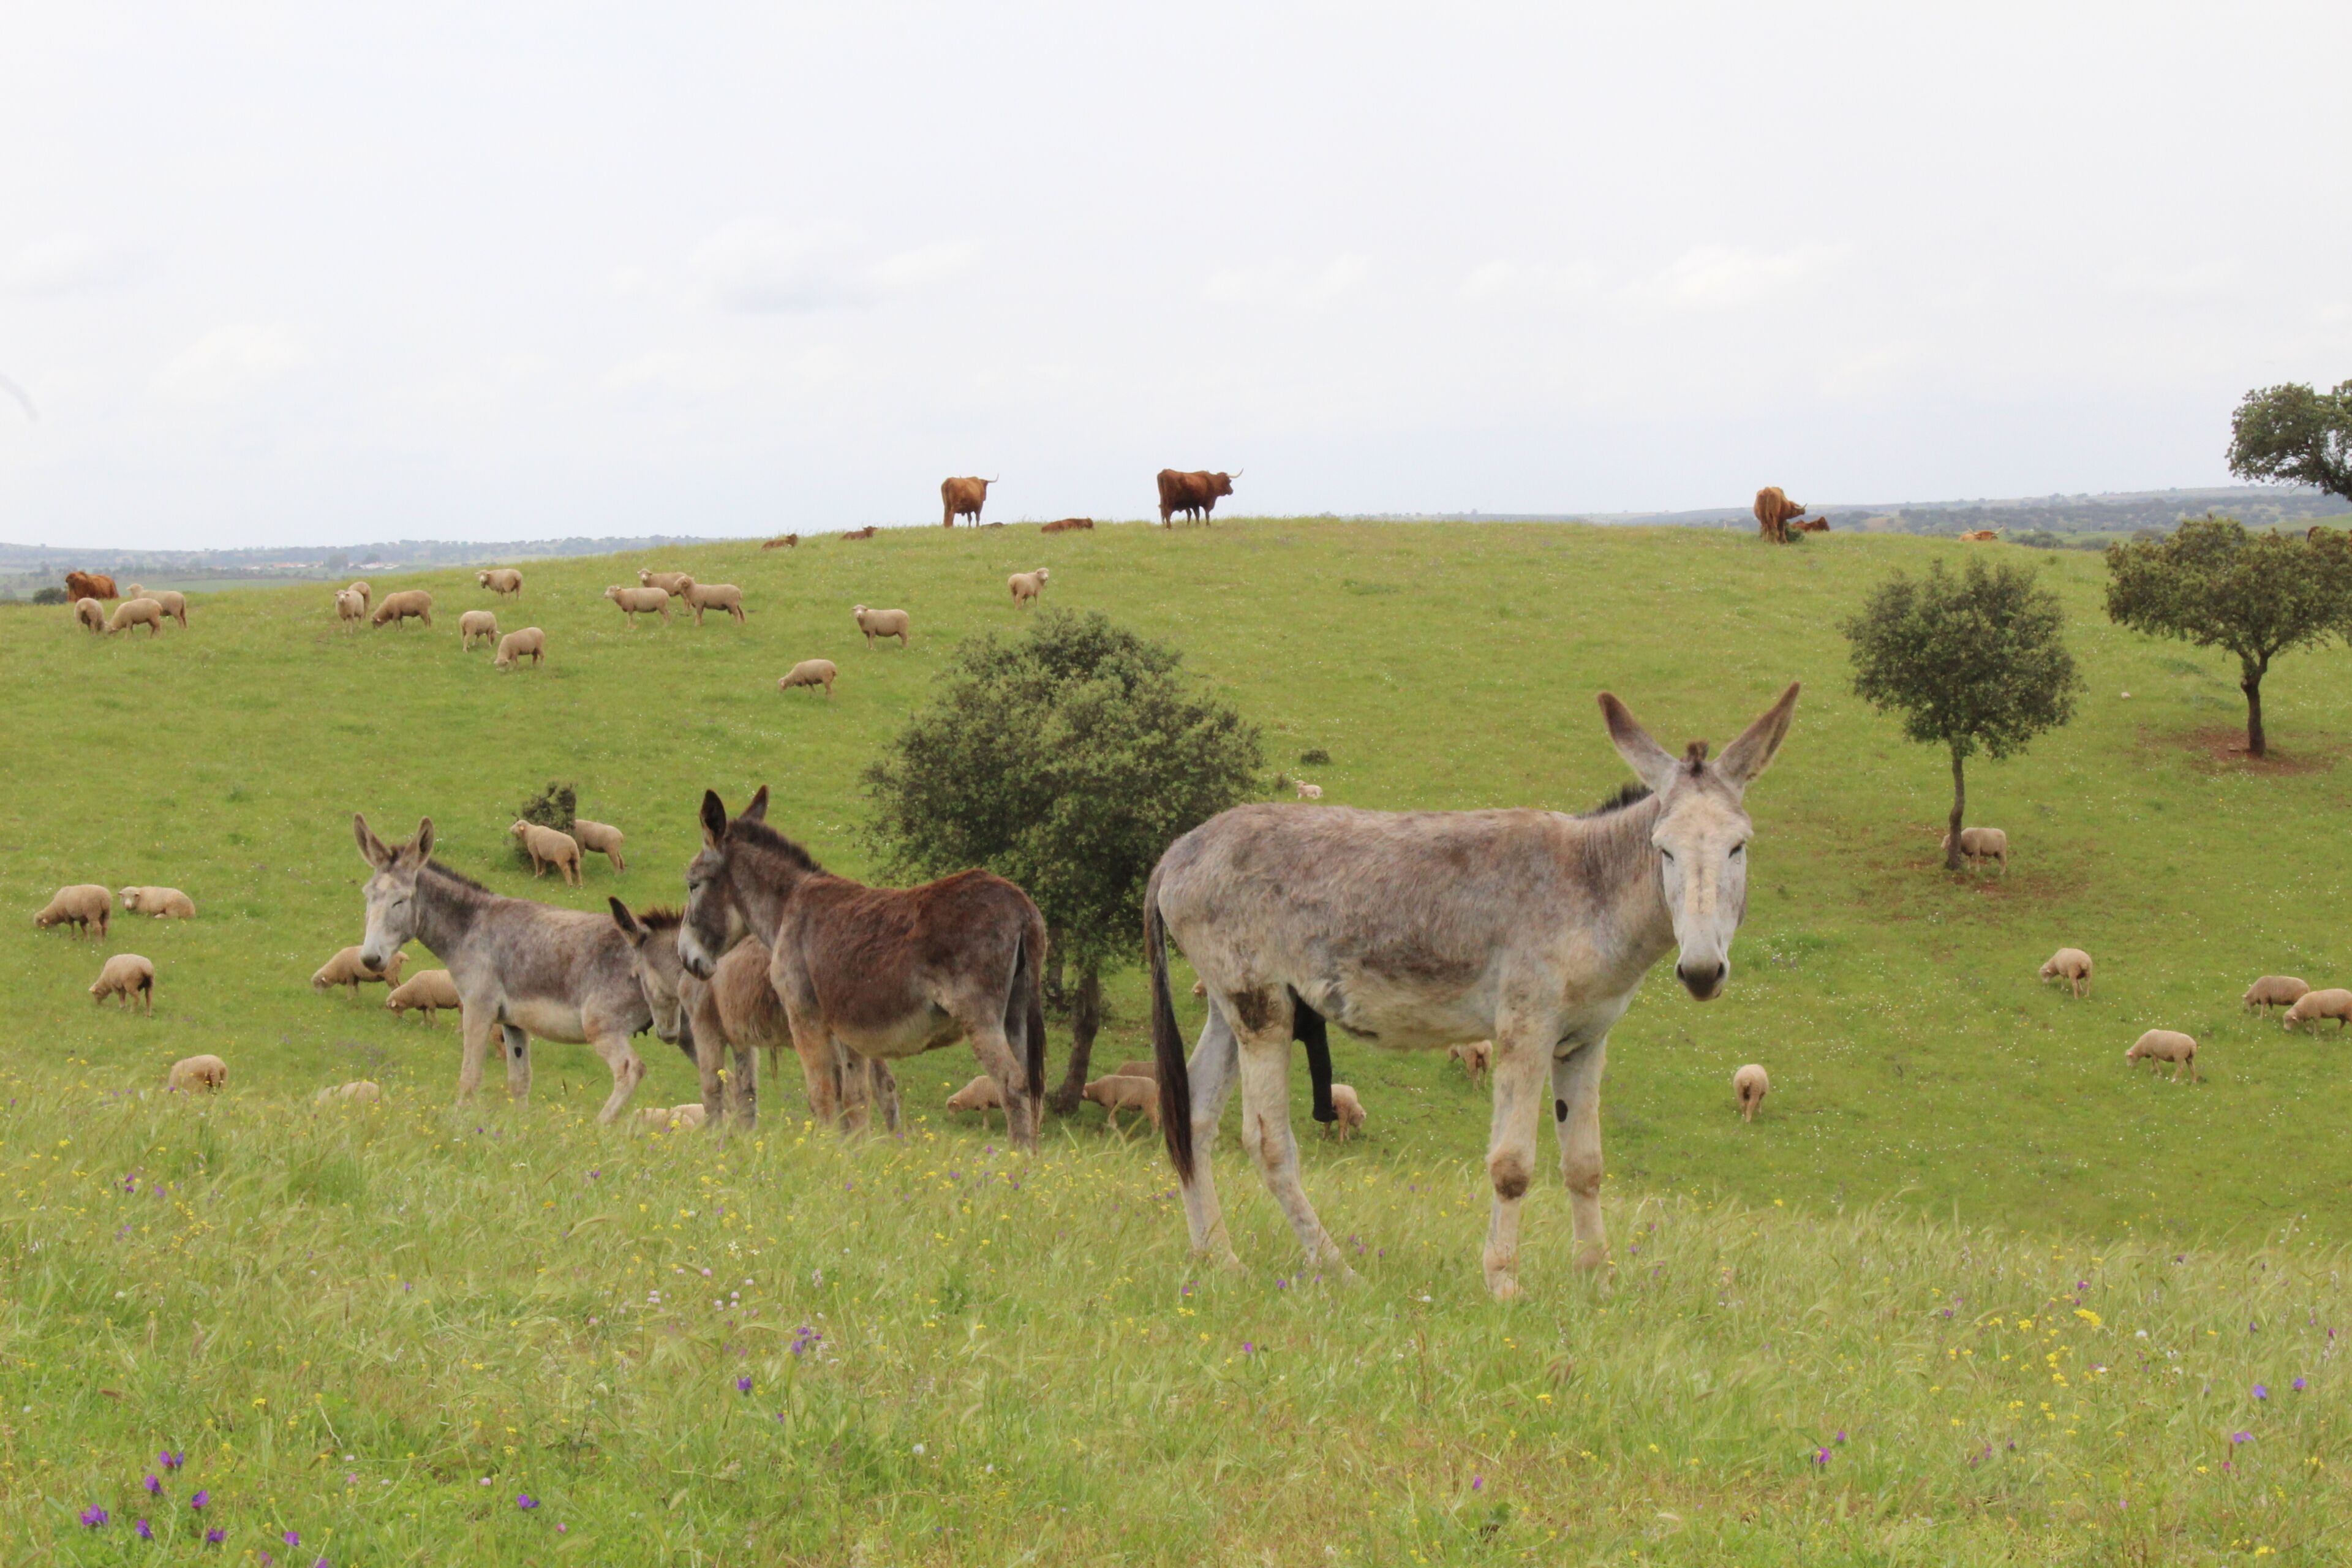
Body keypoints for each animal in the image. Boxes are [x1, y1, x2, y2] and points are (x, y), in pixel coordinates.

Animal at [311, 945, 407, 997]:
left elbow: (349, 987)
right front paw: (357, 997)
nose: (316, 995)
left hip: (390, 975)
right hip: (395, 975)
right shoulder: (355, 976)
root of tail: (401, 956)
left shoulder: (349, 975)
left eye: (319, 984)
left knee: (395, 988)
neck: (336, 969)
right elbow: (356, 987)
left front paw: (349, 998)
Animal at [1081, 1074, 1161, 1135]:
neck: (1097, 1089)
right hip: (1153, 1104)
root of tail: (1156, 1087)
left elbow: (1111, 1116)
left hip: (1148, 1103)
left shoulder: (1110, 1103)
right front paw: (1114, 1126)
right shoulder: (1114, 1104)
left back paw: (1154, 1134)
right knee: (1157, 1116)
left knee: (1154, 1119)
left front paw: (1113, 1126)